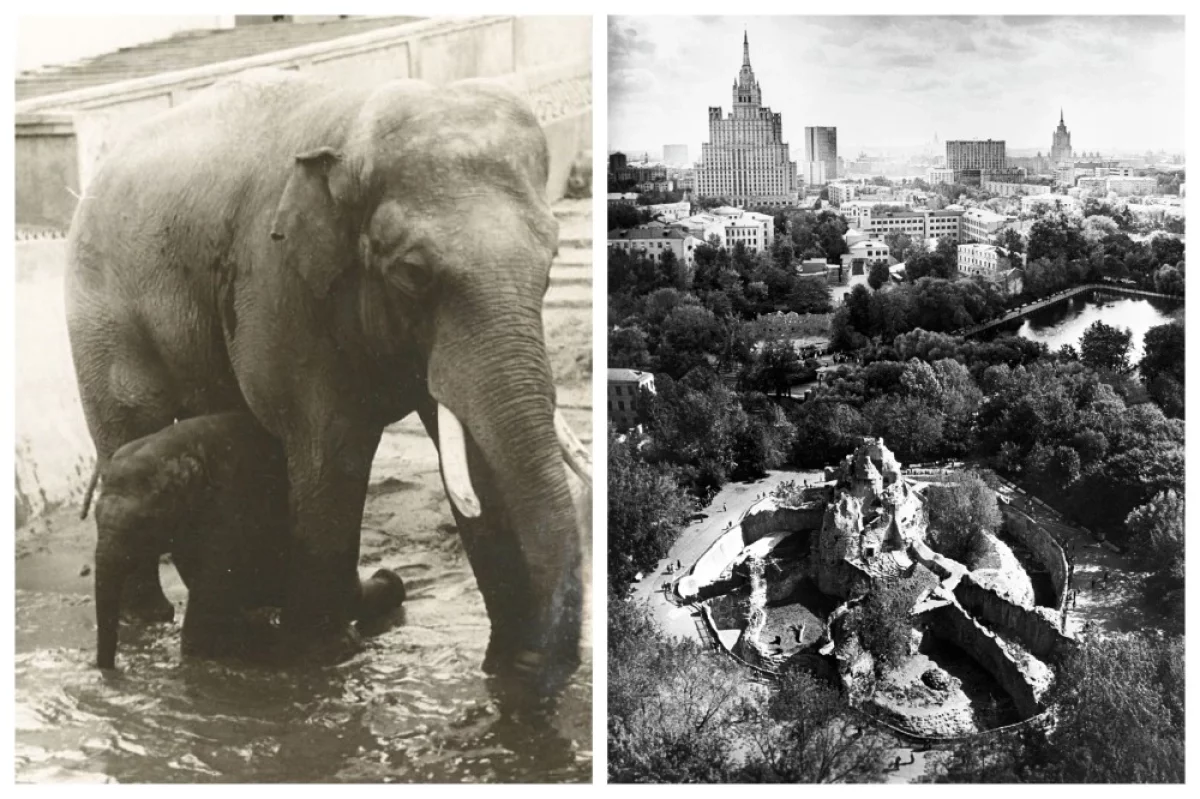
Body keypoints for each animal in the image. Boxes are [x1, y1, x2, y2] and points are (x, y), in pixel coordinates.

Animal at [94, 412, 407, 670]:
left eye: (144, 524)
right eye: (94, 517)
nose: (109, 671)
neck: (177, 444)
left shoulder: (232, 506)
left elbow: (213, 591)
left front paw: (201, 662)